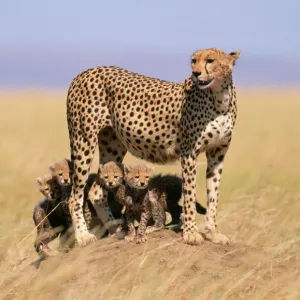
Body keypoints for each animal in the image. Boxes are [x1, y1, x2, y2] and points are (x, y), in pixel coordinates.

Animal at [67, 48, 240, 246]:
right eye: (193, 60)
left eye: (210, 60)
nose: (195, 73)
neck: (219, 98)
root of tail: (86, 71)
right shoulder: (189, 153)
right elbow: (189, 194)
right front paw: (190, 233)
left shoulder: (217, 154)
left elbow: (213, 195)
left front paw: (213, 233)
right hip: (83, 140)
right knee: (75, 196)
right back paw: (83, 236)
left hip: (113, 145)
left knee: (97, 191)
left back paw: (117, 229)